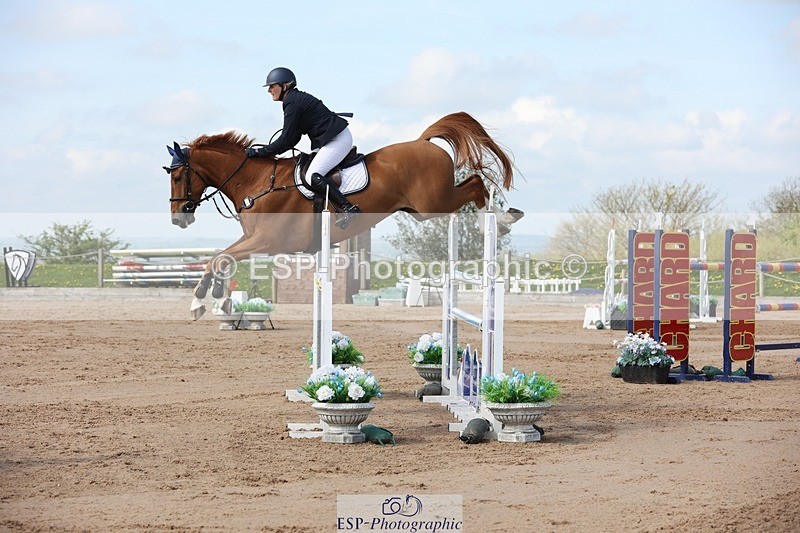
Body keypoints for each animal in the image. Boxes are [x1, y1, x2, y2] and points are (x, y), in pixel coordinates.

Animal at [164, 112, 520, 319]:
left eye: (178, 176)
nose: (178, 219)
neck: (256, 181)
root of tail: (423, 142)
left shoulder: (268, 241)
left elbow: (220, 258)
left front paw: (202, 299)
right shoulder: (253, 238)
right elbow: (220, 257)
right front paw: (214, 298)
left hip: (433, 202)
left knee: (476, 184)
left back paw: (502, 220)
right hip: (421, 209)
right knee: (473, 184)